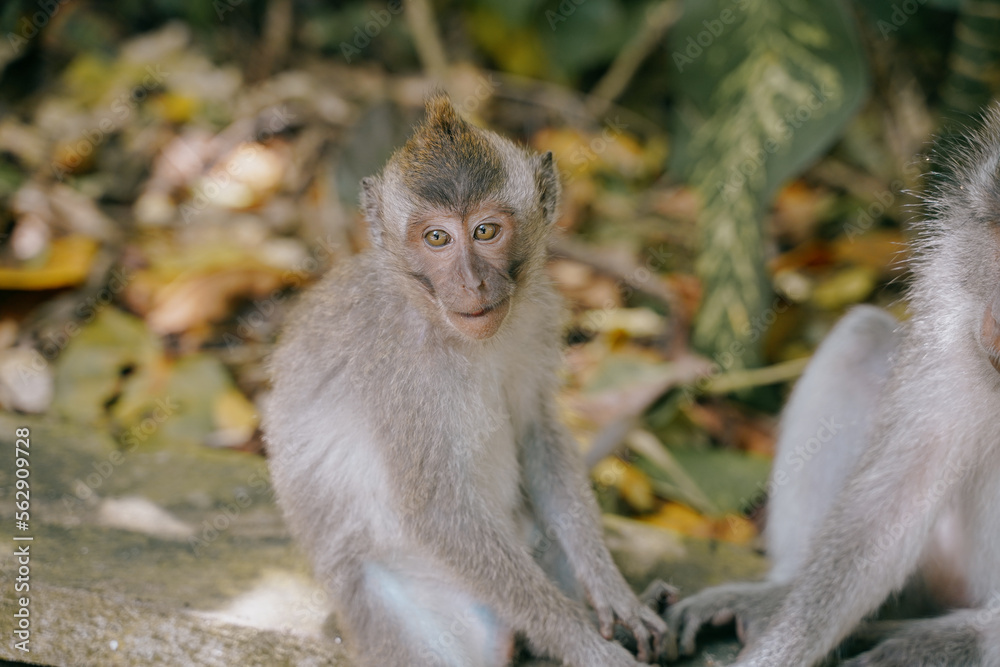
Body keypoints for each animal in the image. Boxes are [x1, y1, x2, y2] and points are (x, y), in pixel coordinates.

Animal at [262, 95, 670, 667]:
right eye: (437, 237)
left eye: (485, 231)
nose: (472, 283)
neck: (442, 325)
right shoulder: (401, 375)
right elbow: (437, 511)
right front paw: (586, 644)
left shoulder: (535, 318)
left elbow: (536, 433)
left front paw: (613, 591)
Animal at [664, 106, 1000, 666]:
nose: (997, 320)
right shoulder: (954, 307)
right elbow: (889, 507)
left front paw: (936, 645)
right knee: (860, 338)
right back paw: (779, 590)